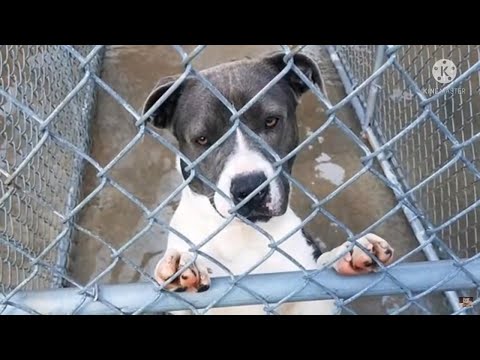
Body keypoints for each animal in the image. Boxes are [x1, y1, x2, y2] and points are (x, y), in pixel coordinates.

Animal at [142, 50, 394, 316]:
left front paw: (347, 253)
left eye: (271, 121)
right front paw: (184, 266)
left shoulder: (309, 296)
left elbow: (317, 277)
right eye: (202, 139)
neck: (243, 234)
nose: (249, 187)